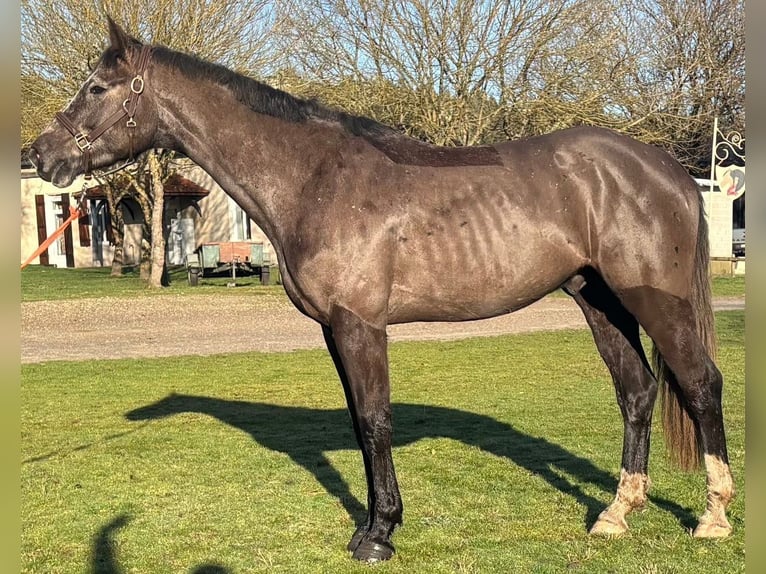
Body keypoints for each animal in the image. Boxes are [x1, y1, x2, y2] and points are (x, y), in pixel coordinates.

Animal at [28, 18, 733, 562]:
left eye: (96, 87)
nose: (41, 155)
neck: (314, 178)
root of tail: (667, 169)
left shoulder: (359, 323)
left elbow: (374, 421)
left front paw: (379, 536)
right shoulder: (332, 329)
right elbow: (360, 423)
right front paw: (372, 526)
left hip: (654, 301)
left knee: (700, 385)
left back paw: (714, 516)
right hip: (597, 298)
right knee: (637, 391)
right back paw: (616, 514)